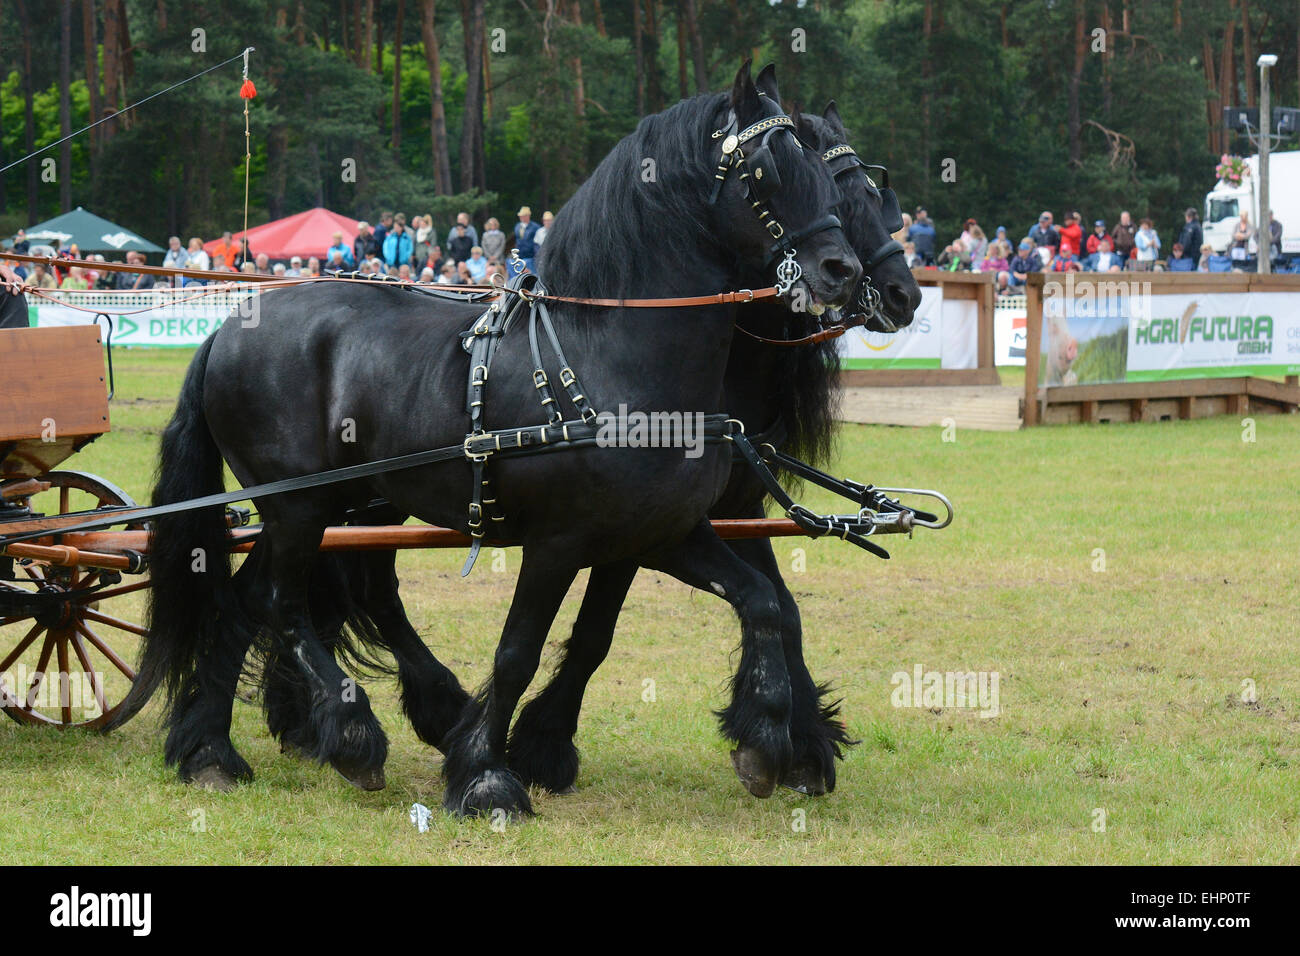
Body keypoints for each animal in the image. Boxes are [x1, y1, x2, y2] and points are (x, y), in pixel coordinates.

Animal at [501, 100, 920, 796]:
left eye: (869, 193)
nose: (901, 293)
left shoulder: (739, 507)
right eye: (839, 196)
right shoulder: (648, 523)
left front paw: (800, 739)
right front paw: (545, 742)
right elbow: (595, 633)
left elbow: (783, 606)